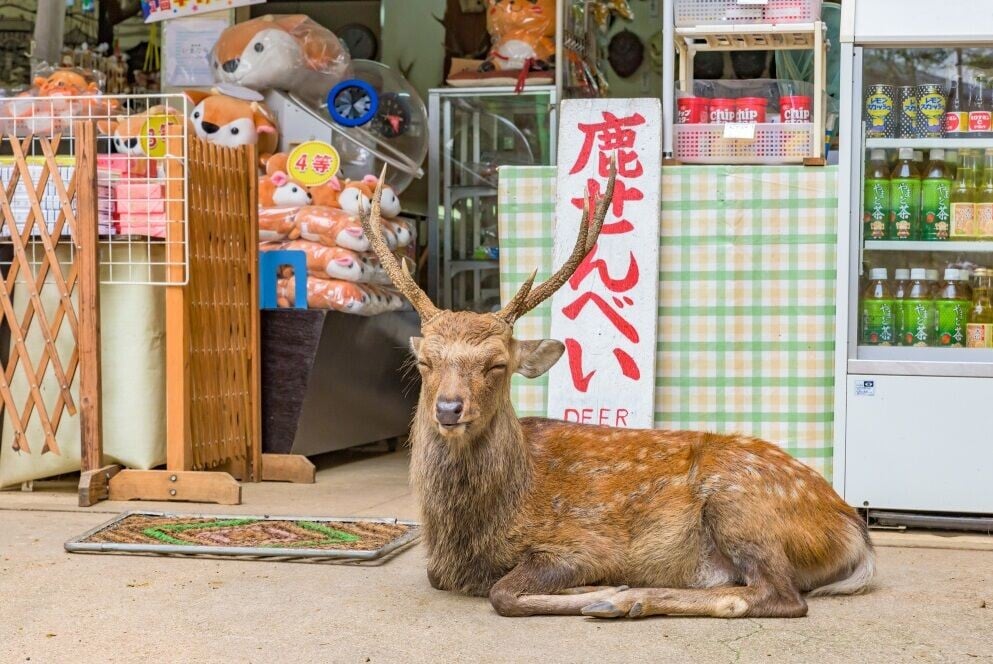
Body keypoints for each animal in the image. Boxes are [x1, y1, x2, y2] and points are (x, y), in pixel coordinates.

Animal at [359, 166, 875, 619]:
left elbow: (502, 592)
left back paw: (627, 600)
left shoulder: (581, 543)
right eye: (424, 362)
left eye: (497, 364)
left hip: (741, 500)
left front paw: (599, 589)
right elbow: (441, 578)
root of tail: (854, 530)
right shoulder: (442, 568)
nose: (449, 408)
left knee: (781, 595)